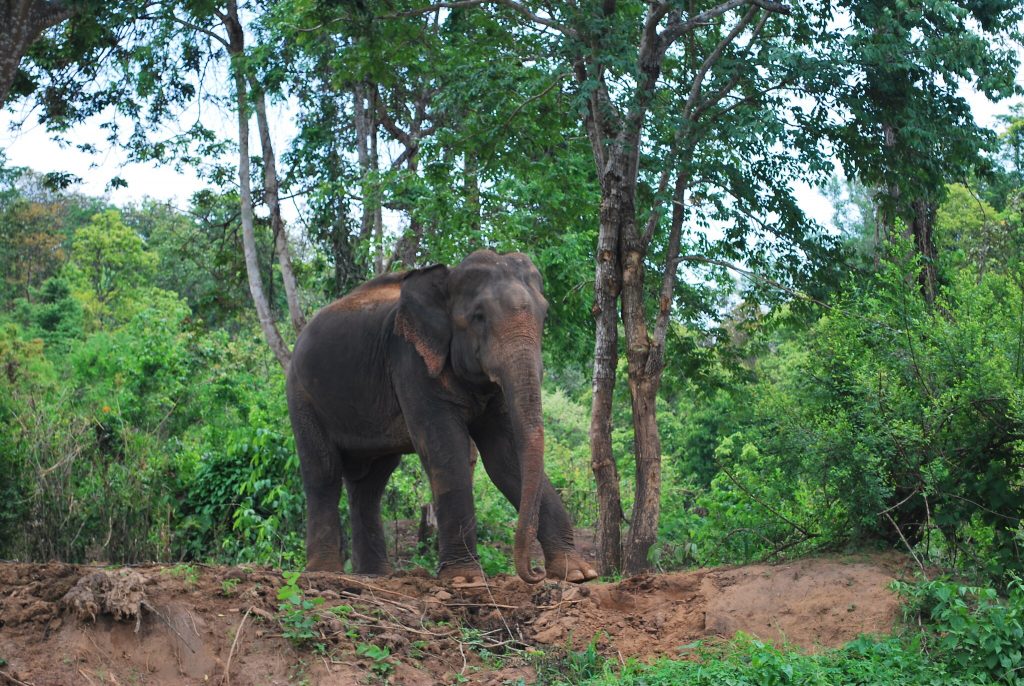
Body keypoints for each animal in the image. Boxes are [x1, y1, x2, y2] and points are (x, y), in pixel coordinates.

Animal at [284, 248, 598, 585]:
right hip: (301, 395)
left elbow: (505, 458)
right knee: (324, 473)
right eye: (478, 317)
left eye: (545, 315)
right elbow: (447, 453)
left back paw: (375, 575)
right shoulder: (410, 360)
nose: (536, 573)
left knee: (370, 484)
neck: (446, 280)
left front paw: (578, 574)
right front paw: (464, 579)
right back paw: (325, 572)